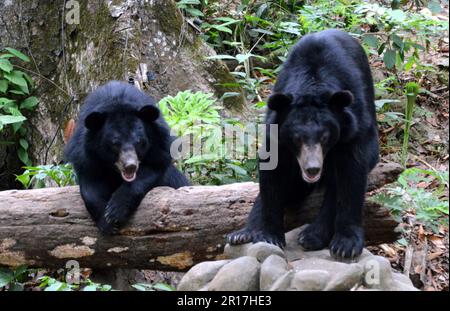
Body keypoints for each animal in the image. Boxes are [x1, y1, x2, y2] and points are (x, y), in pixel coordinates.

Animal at [64, 81, 188, 235]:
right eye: (115, 144)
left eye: (139, 142)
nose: (130, 166)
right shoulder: (85, 154)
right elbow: (90, 186)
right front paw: (106, 222)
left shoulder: (160, 144)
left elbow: (151, 170)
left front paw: (115, 212)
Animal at [227, 29, 378, 260]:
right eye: (297, 138)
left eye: (325, 137)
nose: (312, 169)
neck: (312, 84)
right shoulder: (276, 131)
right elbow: (272, 173)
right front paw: (269, 235)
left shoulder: (353, 127)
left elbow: (352, 174)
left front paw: (346, 244)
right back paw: (241, 234)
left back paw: (312, 236)